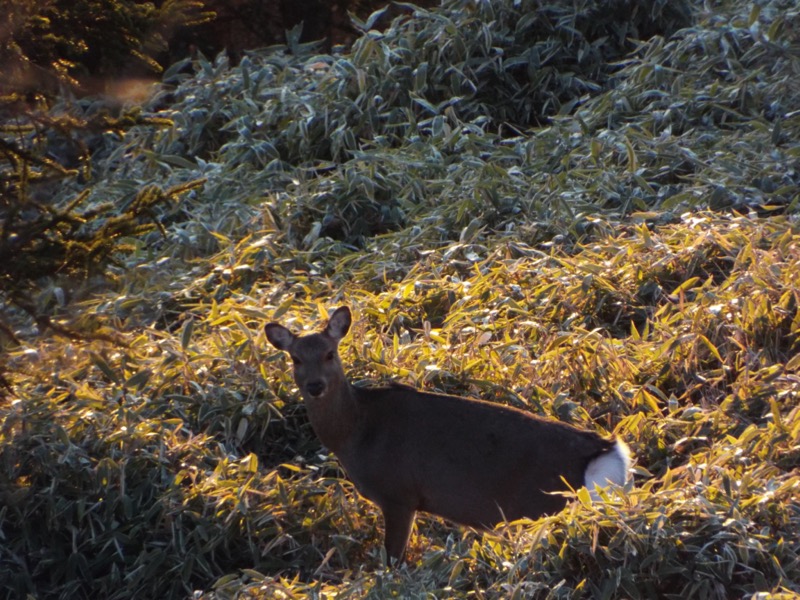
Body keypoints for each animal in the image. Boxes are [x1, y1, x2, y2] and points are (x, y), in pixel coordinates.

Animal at [266, 310, 636, 564]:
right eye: (295, 358)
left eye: (330, 353)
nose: (315, 386)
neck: (355, 434)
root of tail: (611, 452)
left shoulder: (399, 493)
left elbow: (393, 561)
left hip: (547, 503)